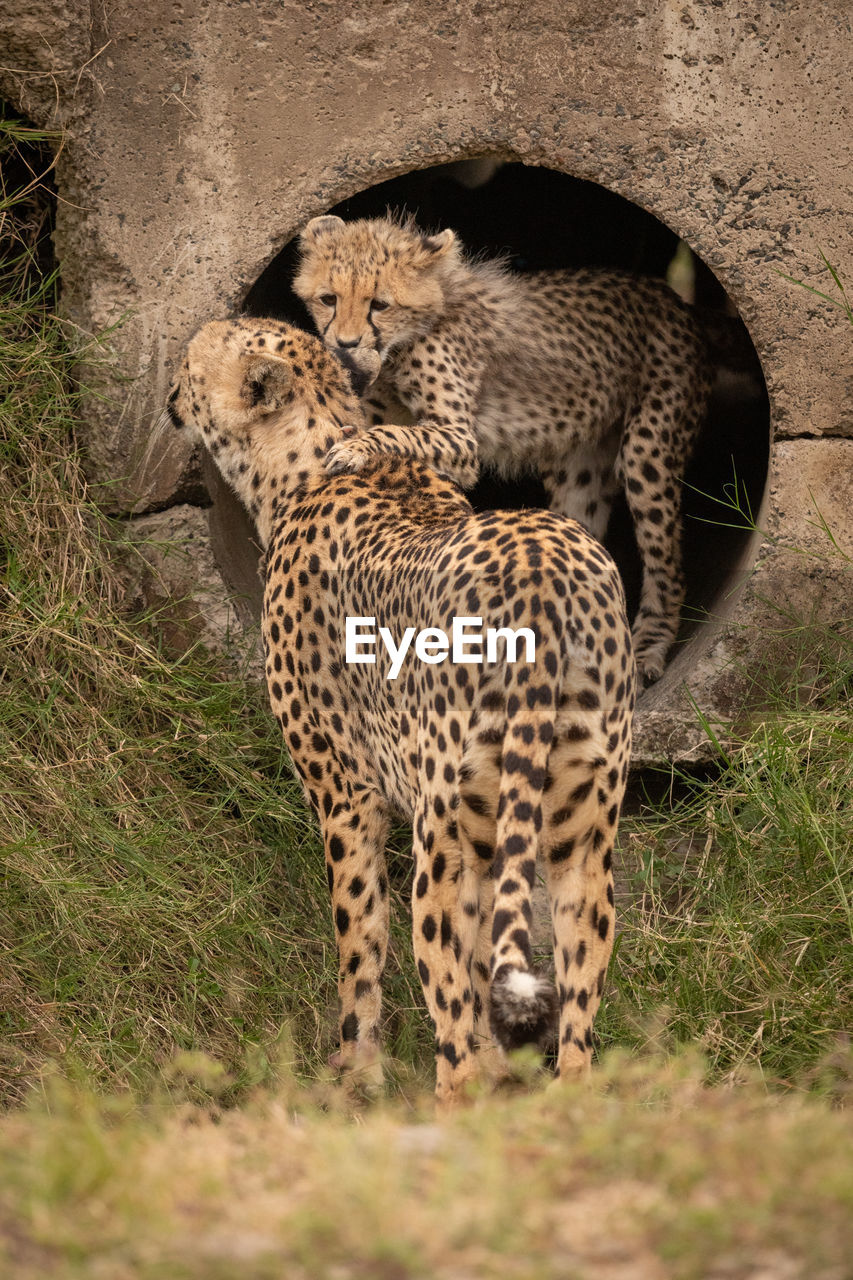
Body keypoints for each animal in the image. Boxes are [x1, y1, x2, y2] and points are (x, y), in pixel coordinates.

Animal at [163, 314, 630, 1105]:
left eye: (195, 358)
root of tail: (541, 560)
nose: (166, 392)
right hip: (580, 828)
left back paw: (449, 1102)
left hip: (445, 837)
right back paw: (569, 1099)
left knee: (448, 997)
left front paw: (355, 1071)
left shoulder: (347, 797)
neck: (307, 460)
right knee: (574, 996)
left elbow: (360, 938)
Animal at [292, 215, 712, 686]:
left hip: (647, 454)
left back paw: (647, 649)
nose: (344, 344)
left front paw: (354, 450)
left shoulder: (460, 438)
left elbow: (396, 435)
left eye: (379, 304)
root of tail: (671, 298)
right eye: (328, 298)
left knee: (666, 564)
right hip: (580, 468)